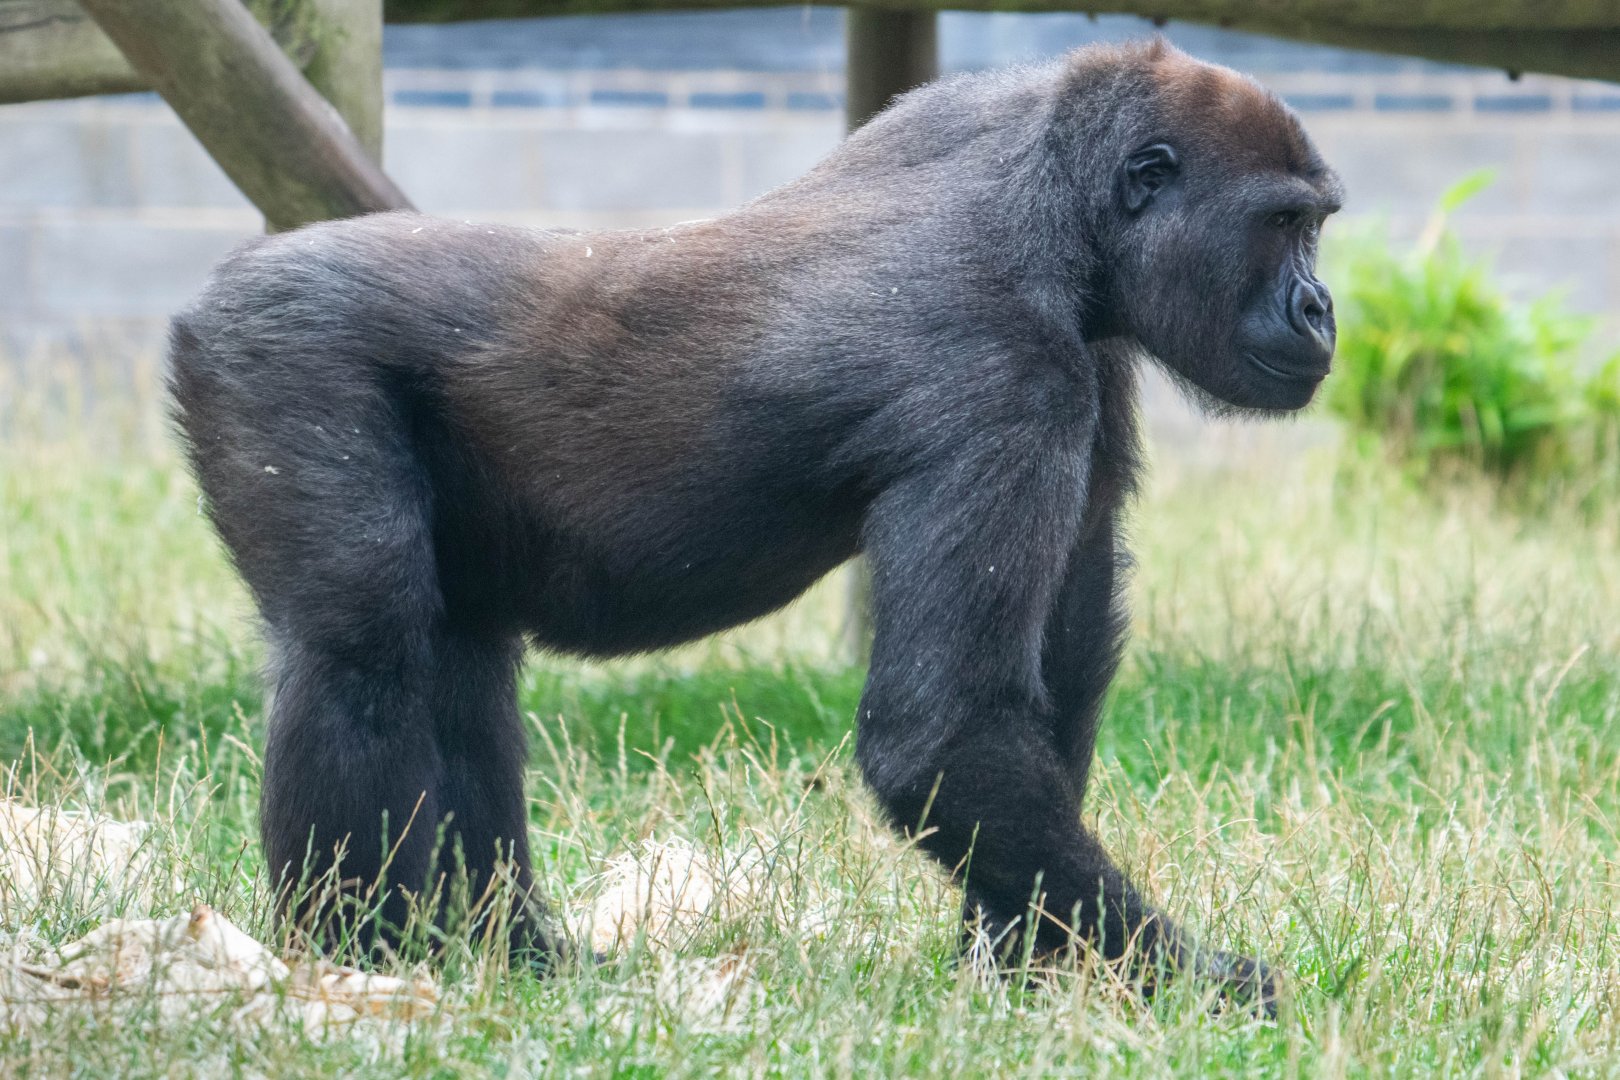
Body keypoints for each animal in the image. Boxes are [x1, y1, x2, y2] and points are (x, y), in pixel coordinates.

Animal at [167, 40, 1341, 1009]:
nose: (1321, 310)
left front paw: (1027, 962)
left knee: (454, 656)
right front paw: (1194, 979)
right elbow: (943, 731)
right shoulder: (1009, 374)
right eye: (1283, 223)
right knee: (358, 642)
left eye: (1314, 225)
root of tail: (217, 290)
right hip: (272, 356)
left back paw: (509, 952)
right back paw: (356, 959)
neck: (1058, 202)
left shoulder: (1085, 350)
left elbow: (1059, 655)